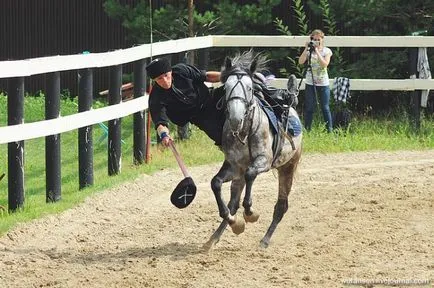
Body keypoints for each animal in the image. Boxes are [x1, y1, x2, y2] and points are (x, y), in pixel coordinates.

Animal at [205, 51, 304, 250]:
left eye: (250, 88)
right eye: (226, 88)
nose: (235, 118)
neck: (245, 133)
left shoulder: (263, 161)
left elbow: (251, 174)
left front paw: (250, 212)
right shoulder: (234, 167)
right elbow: (216, 183)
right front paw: (235, 220)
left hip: (288, 167)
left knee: (281, 206)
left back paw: (265, 240)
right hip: (241, 175)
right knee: (233, 203)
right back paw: (216, 236)